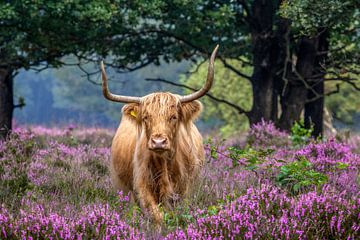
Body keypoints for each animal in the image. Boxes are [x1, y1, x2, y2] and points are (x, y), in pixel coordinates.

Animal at [101, 45, 219, 225]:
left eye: (174, 117)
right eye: (146, 117)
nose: (158, 142)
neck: (164, 164)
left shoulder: (184, 189)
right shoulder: (141, 186)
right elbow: (157, 215)